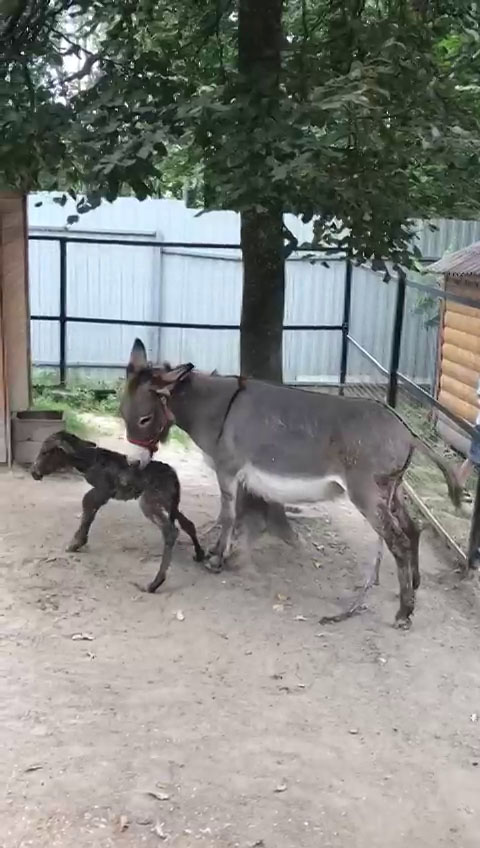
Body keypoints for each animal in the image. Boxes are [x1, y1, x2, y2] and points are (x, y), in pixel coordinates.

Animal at [31, 430, 204, 588]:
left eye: (45, 452)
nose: (34, 473)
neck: (89, 460)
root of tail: (173, 476)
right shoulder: (102, 493)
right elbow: (89, 510)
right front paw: (78, 542)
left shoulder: (103, 490)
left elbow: (87, 507)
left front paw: (75, 543)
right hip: (169, 502)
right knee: (188, 524)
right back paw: (199, 554)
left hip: (149, 502)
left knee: (170, 531)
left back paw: (154, 583)